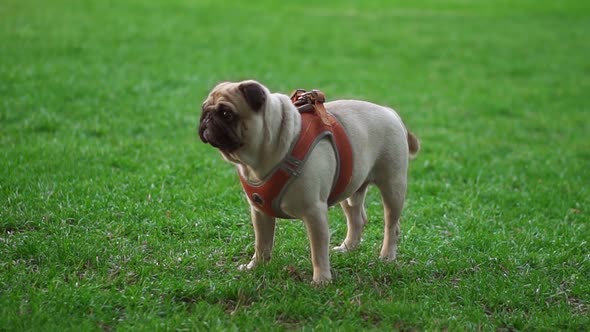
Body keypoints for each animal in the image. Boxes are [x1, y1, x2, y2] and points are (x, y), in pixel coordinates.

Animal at [200, 80, 420, 282]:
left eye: (227, 113)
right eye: (204, 108)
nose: (206, 117)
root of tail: (390, 112)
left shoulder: (314, 212)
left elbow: (318, 250)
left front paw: (321, 280)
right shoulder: (260, 212)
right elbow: (262, 243)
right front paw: (256, 266)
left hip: (392, 186)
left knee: (391, 225)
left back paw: (387, 256)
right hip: (349, 184)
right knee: (357, 218)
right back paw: (347, 248)